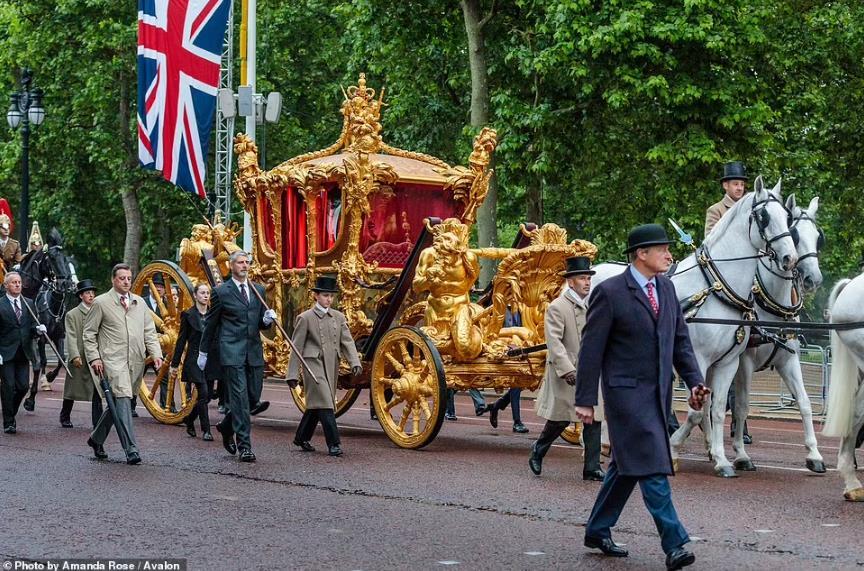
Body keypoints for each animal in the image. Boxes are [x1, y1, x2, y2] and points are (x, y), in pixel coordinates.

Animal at [19, 228, 76, 412]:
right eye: (51, 257)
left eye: (65, 258)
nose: (67, 284)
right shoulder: (41, 338)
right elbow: (41, 361)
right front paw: (33, 395)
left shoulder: (58, 336)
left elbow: (61, 358)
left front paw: (49, 378)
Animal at [592, 179, 800, 478]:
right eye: (763, 216)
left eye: (787, 217)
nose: (789, 259)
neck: (718, 289)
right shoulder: (698, 359)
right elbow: (697, 412)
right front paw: (674, 448)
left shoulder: (728, 362)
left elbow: (717, 410)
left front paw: (722, 460)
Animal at [732, 197, 828, 474]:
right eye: (794, 234)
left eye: (818, 237)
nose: (813, 278)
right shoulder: (744, 362)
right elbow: (741, 405)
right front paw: (741, 454)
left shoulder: (789, 359)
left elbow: (805, 403)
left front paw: (814, 455)